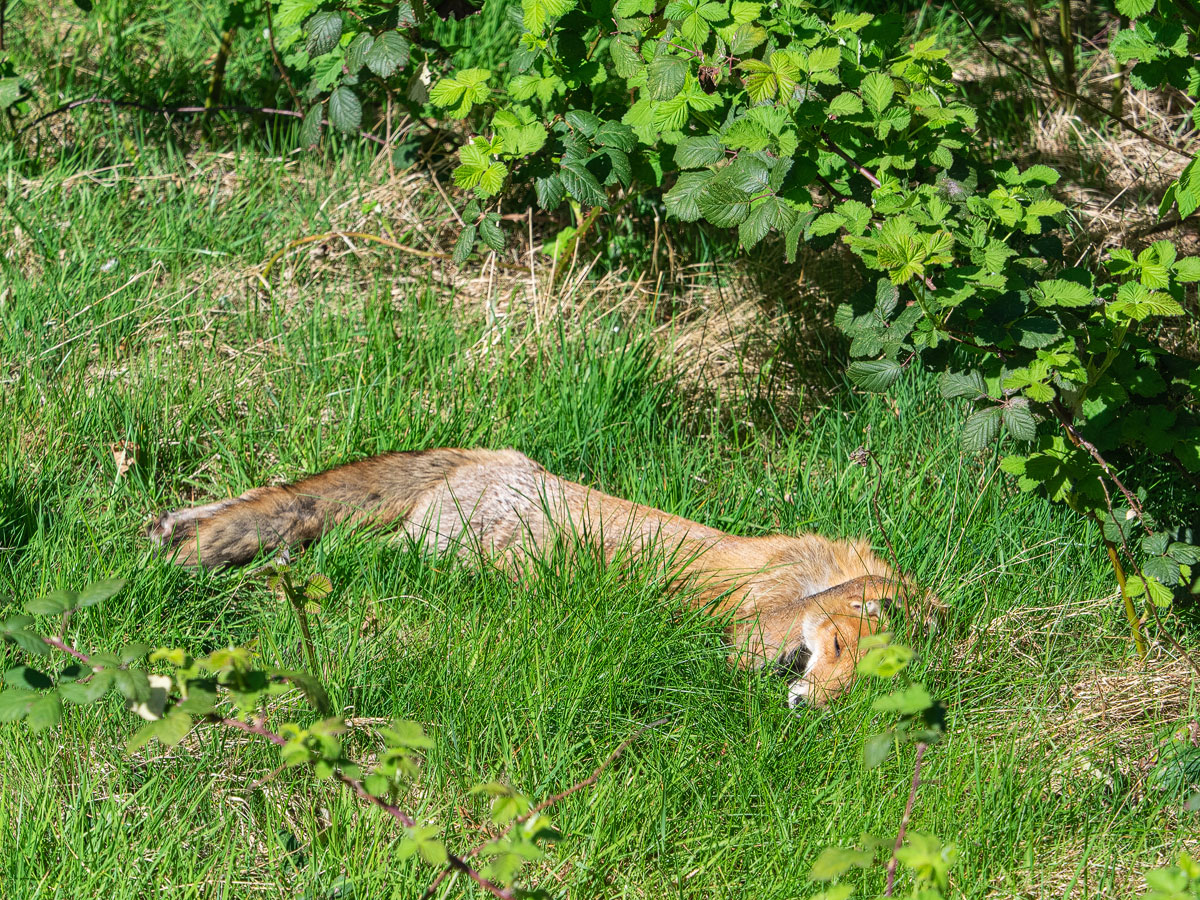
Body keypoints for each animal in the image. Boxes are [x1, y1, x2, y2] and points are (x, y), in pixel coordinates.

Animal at [148, 448, 937, 705]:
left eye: (860, 685)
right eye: (836, 650)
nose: (809, 706)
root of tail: (489, 454)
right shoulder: (759, 614)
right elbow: (749, 646)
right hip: (478, 553)